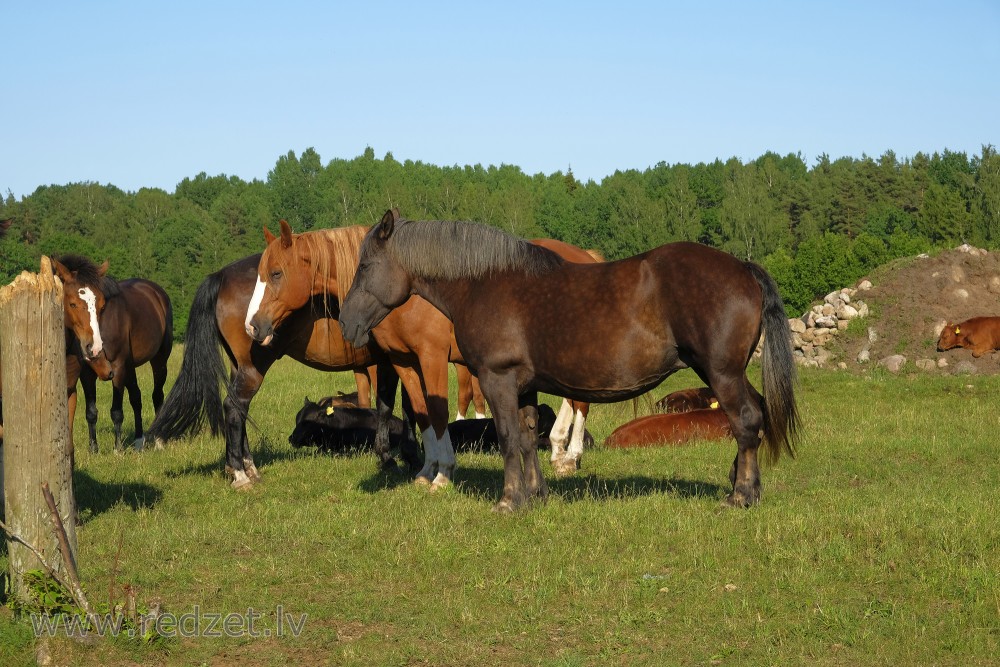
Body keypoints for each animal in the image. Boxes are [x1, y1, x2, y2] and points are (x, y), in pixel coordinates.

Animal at [145, 253, 414, 488]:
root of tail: (221, 275)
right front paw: (399, 457)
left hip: (238, 366)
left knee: (238, 407)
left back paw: (244, 467)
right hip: (253, 368)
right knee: (234, 407)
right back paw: (241, 473)